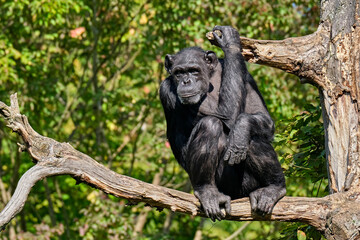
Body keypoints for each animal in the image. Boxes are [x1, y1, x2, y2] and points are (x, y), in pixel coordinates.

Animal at [159, 25, 286, 221]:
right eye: (179, 73)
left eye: (194, 70)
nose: (186, 81)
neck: (210, 77)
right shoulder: (167, 90)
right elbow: (225, 115)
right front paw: (230, 44)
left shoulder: (247, 78)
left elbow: (261, 117)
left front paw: (229, 43)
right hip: (225, 184)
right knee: (210, 124)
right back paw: (207, 192)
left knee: (253, 137)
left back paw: (274, 187)